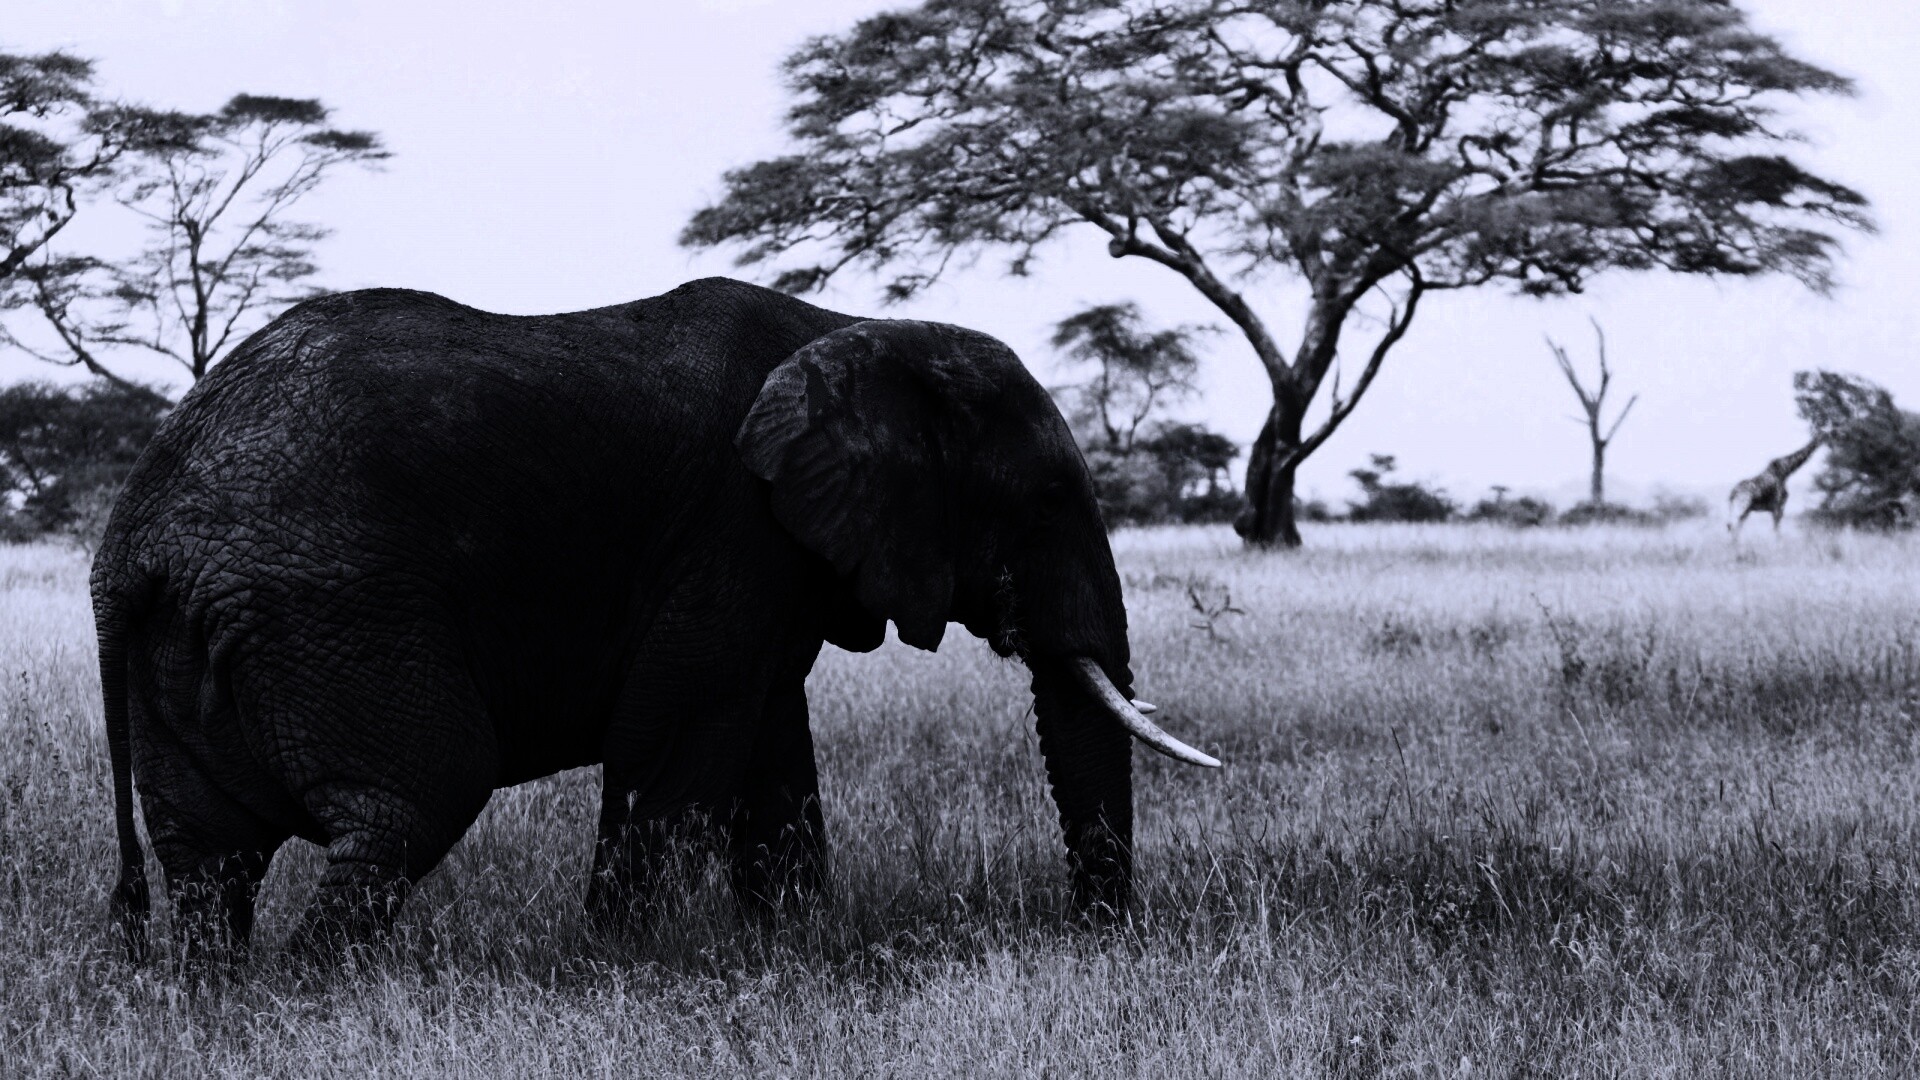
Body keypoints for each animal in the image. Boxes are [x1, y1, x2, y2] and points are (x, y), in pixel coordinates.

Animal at [93, 276, 1219, 960]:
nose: (1095, 936)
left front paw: (795, 955)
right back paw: (317, 996)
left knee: (209, 858)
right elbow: (673, 743)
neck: (855, 331)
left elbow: (770, 755)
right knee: (412, 799)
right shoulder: (734, 532)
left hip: (198, 642)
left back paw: (224, 1001)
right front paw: (620, 966)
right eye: (1045, 500)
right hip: (331, 610)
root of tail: (131, 536)